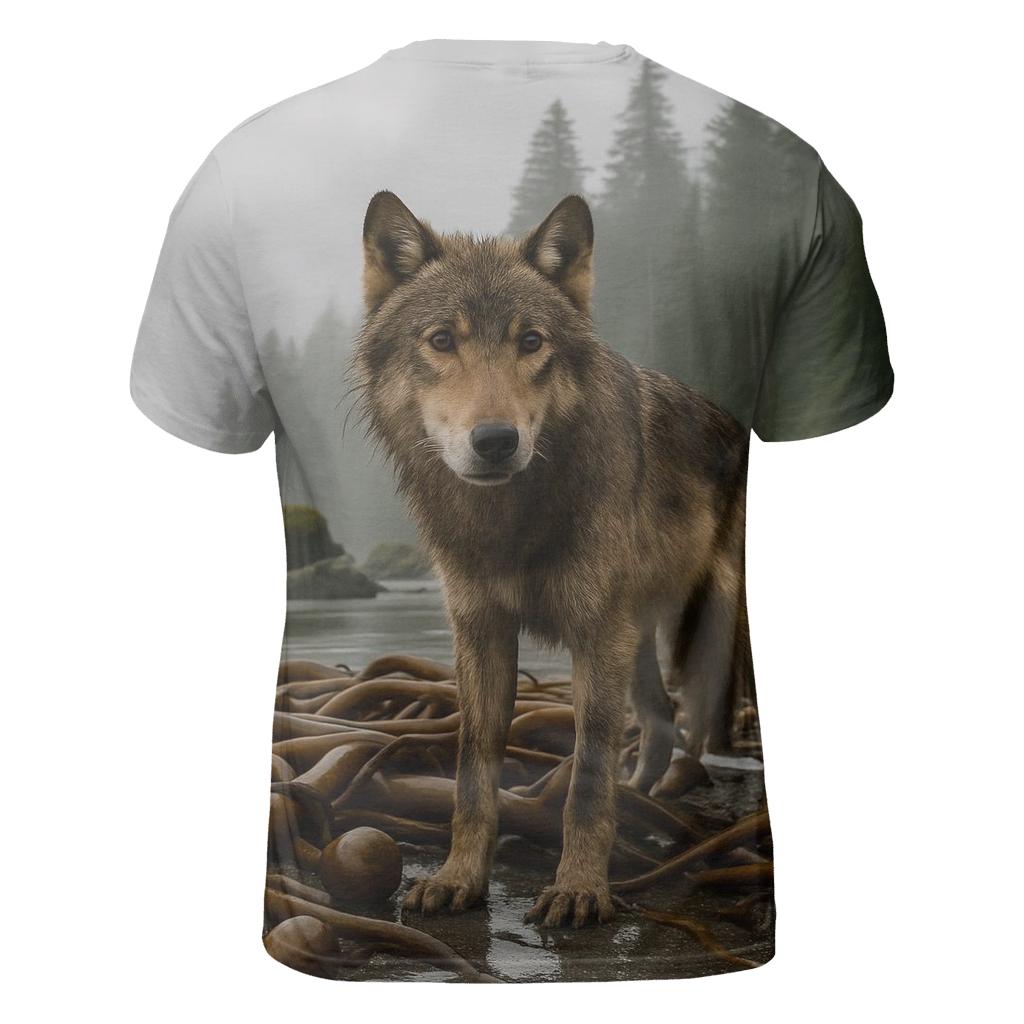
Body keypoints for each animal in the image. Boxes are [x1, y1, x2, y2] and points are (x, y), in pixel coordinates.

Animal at [352, 191, 751, 928]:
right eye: (442, 340)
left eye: (530, 342)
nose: (496, 441)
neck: (511, 521)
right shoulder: (482, 634)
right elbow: (473, 774)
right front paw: (458, 878)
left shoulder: (596, 637)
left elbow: (588, 777)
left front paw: (580, 889)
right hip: (637, 637)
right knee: (657, 718)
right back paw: (647, 793)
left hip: (695, 634)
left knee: (697, 721)